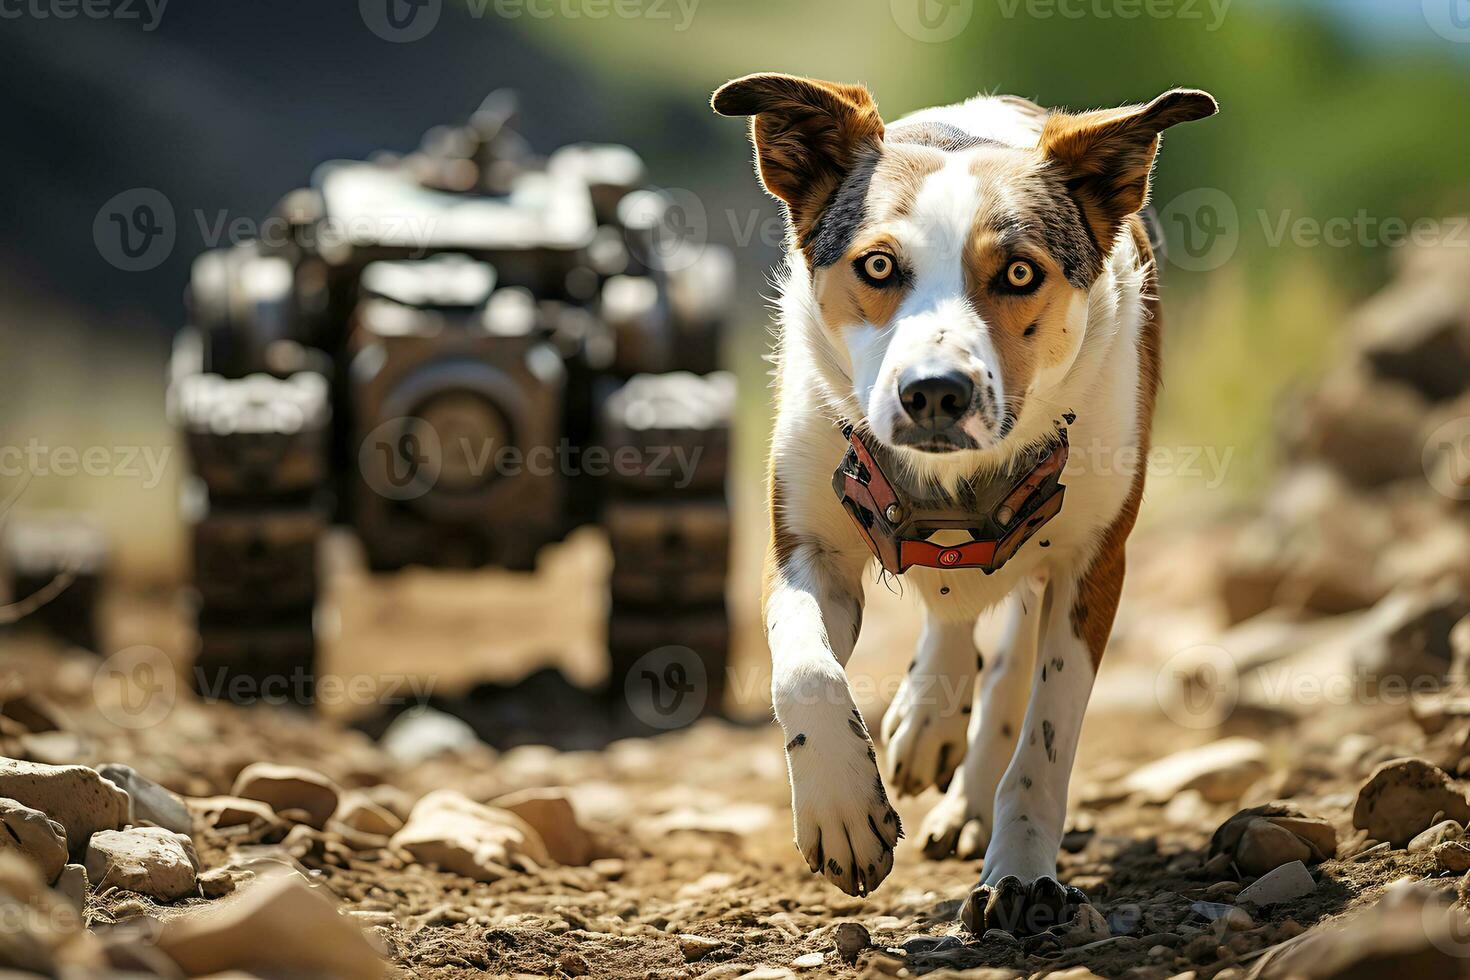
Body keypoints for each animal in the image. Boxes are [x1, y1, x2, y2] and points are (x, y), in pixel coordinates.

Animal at [714, 72, 1217, 934]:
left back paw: (963, 782)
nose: (935, 393)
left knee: (1007, 656)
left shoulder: (1094, 563)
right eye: (879, 265)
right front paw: (843, 810)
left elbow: (1046, 736)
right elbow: (805, 672)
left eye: (1018, 274)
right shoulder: (808, 546)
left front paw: (1022, 875)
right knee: (950, 616)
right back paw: (927, 717)